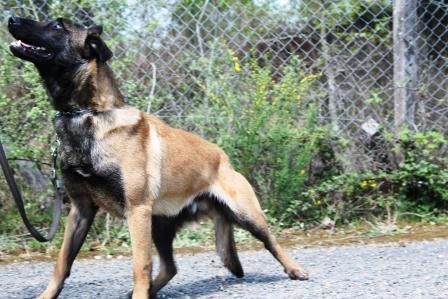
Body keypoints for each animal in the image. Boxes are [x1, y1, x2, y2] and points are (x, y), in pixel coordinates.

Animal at [7, 17, 308, 299]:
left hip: (245, 214)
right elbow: (62, 262)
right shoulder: (81, 211)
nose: (11, 19)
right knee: (170, 267)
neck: (88, 113)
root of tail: (222, 156)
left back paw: (295, 269)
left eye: (58, 26)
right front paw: (47, 295)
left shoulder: (137, 210)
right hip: (160, 226)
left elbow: (140, 264)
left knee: (271, 241)